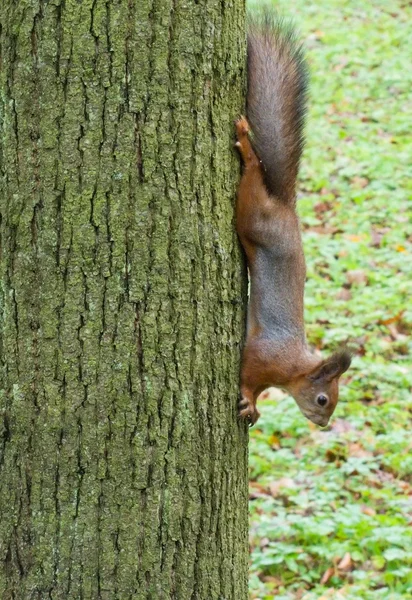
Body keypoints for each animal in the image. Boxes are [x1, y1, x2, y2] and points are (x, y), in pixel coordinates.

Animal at [235, 11, 350, 428]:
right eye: (322, 399)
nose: (324, 424)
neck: (294, 367)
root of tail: (285, 206)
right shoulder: (262, 357)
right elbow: (247, 376)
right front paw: (249, 401)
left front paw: (255, 407)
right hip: (252, 214)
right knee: (252, 178)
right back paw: (247, 148)